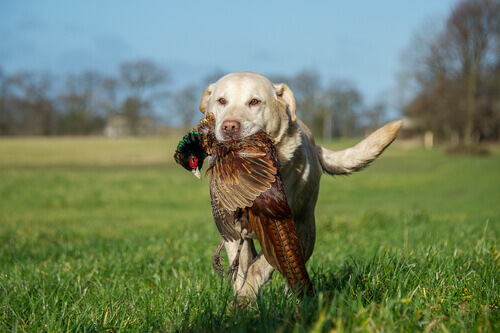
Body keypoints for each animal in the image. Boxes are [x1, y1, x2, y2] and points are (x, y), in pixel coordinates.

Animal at [197, 72, 400, 300]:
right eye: (221, 100)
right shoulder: (232, 230)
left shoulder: (281, 225)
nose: (229, 127)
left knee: (293, 268)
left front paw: (246, 296)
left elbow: (261, 266)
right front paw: (241, 295)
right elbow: (242, 267)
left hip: (306, 230)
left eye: (254, 102)